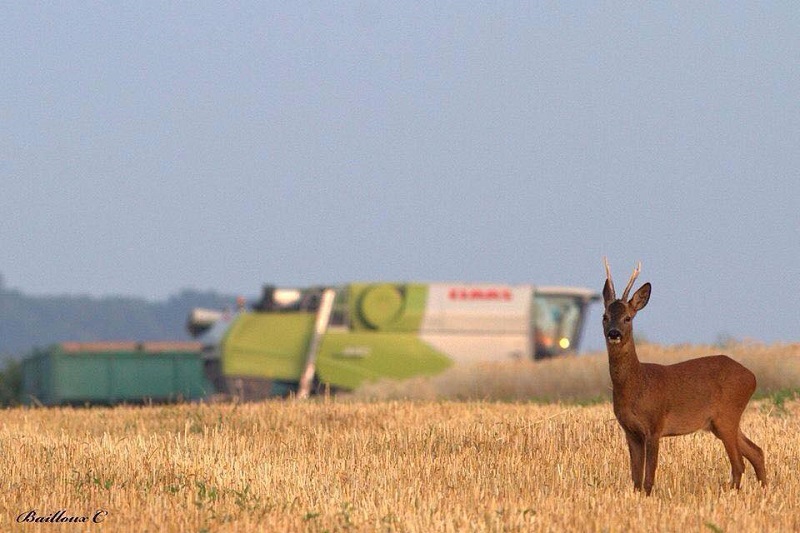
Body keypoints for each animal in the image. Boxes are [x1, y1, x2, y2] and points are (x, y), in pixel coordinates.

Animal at [604, 258, 764, 494]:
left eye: (627, 318)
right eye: (605, 316)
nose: (614, 333)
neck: (637, 383)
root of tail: (752, 377)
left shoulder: (655, 425)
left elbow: (649, 476)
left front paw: (648, 497)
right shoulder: (630, 431)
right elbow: (635, 478)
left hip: (727, 415)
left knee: (739, 463)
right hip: (719, 423)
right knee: (756, 452)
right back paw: (765, 490)